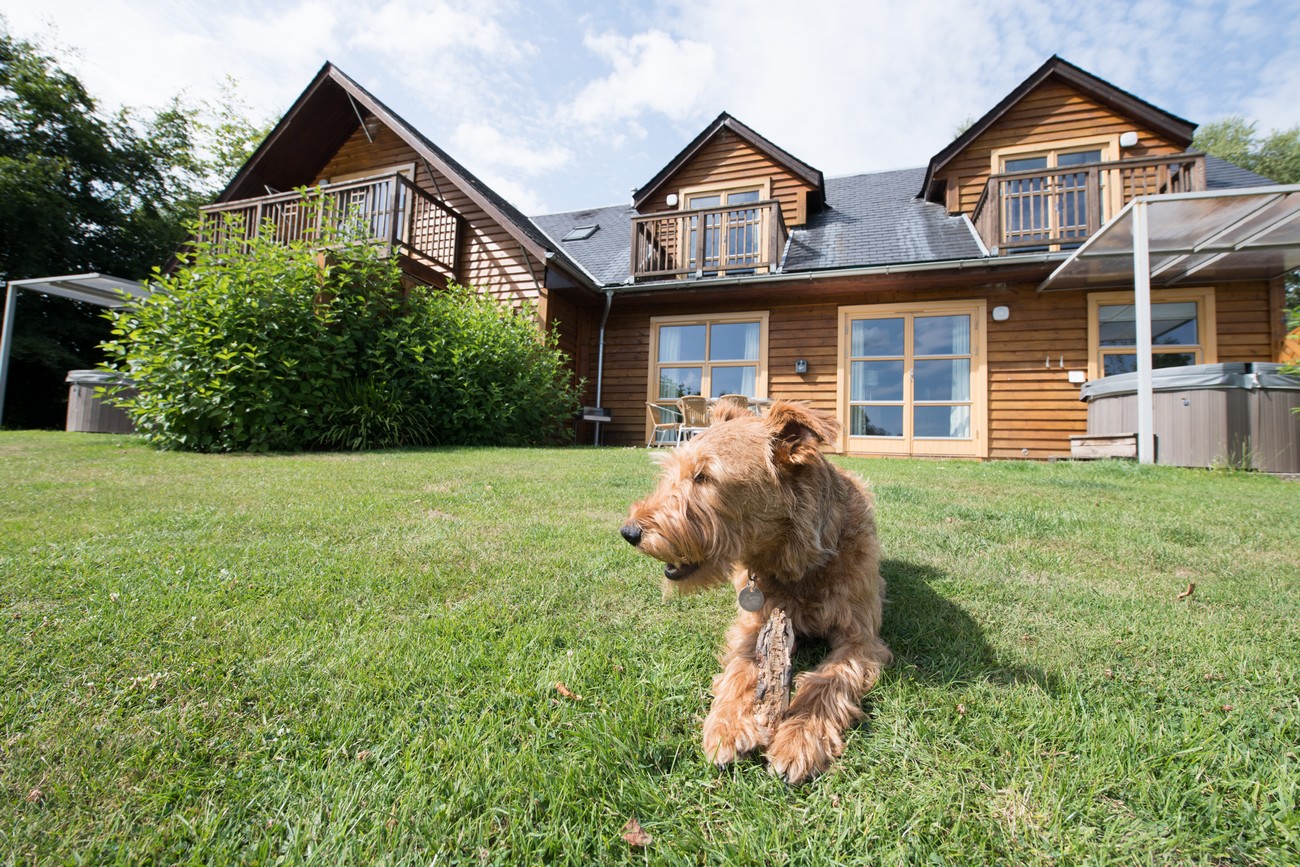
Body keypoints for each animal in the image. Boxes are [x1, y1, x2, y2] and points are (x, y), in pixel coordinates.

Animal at [621, 400, 894, 785]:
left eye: (704, 476)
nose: (629, 532)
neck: (797, 566)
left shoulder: (860, 638)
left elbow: (826, 680)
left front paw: (799, 737)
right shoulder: (752, 626)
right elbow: (740, 669)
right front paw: (729, 726)